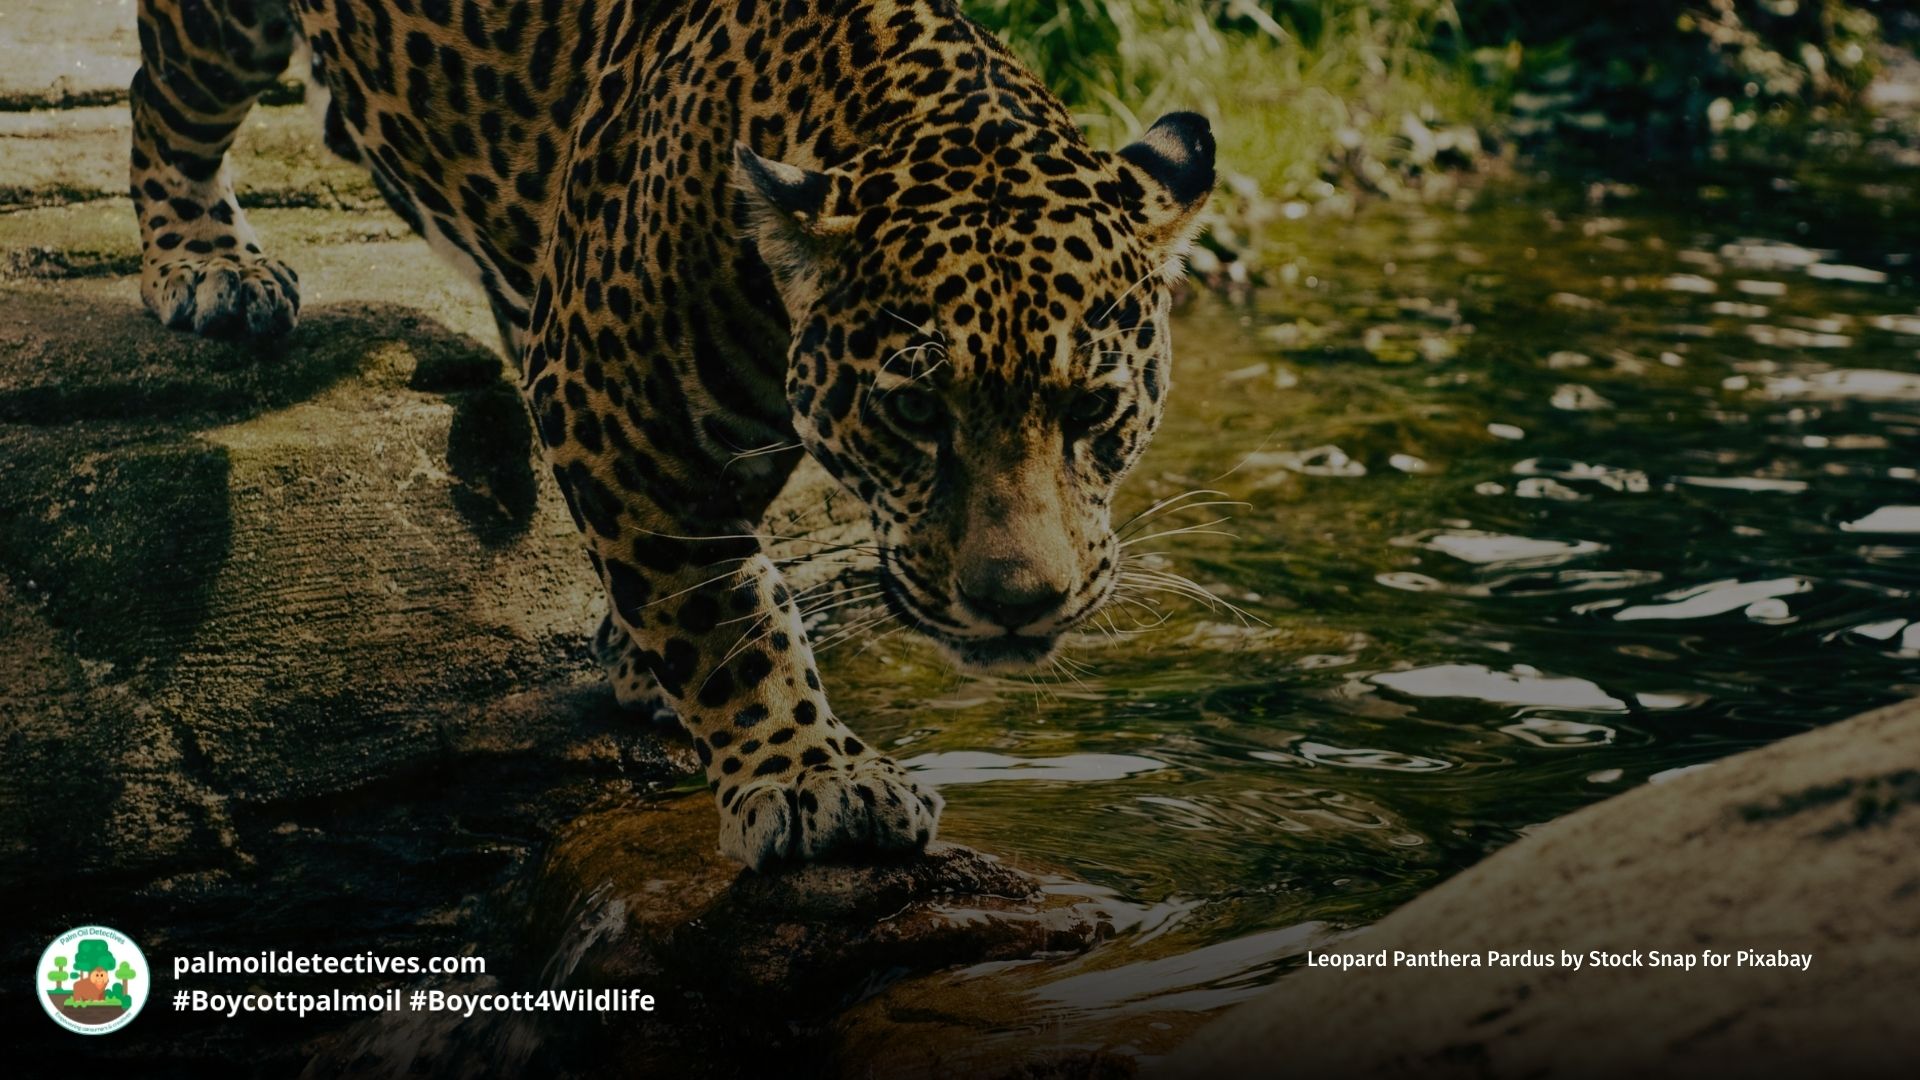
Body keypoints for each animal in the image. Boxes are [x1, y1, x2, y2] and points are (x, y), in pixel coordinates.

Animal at [129, 0, 1215, 869]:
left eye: (1093, 410)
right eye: (914, 412)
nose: (1019, 606)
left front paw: (640, 656)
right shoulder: (610, 389)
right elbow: (724, 606)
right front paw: (813, 778)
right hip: (219, 39)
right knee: (161, 97)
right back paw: (208, 265)